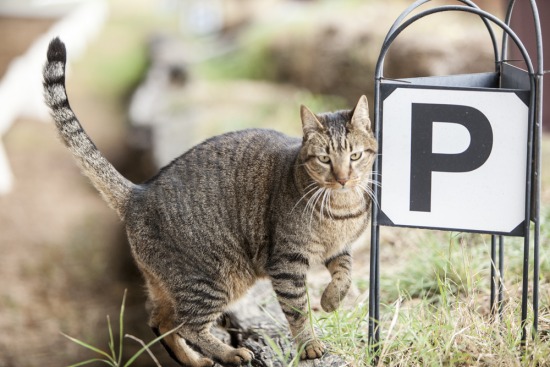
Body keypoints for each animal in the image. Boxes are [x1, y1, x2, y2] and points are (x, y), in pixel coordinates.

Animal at [44, 38, 380, 367]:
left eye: (355, 156)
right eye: (325, 159)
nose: (343, 177)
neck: (342, 206)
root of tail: (138, 192)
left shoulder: (339, 249)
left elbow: (345, 273)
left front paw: (330, 300)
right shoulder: (287, 262)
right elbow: (298, 311)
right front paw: (309, 346)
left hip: (170, 285)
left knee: (161, 321)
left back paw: (195, 361)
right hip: (213, 279)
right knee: (188, 325)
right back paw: (229, 353)